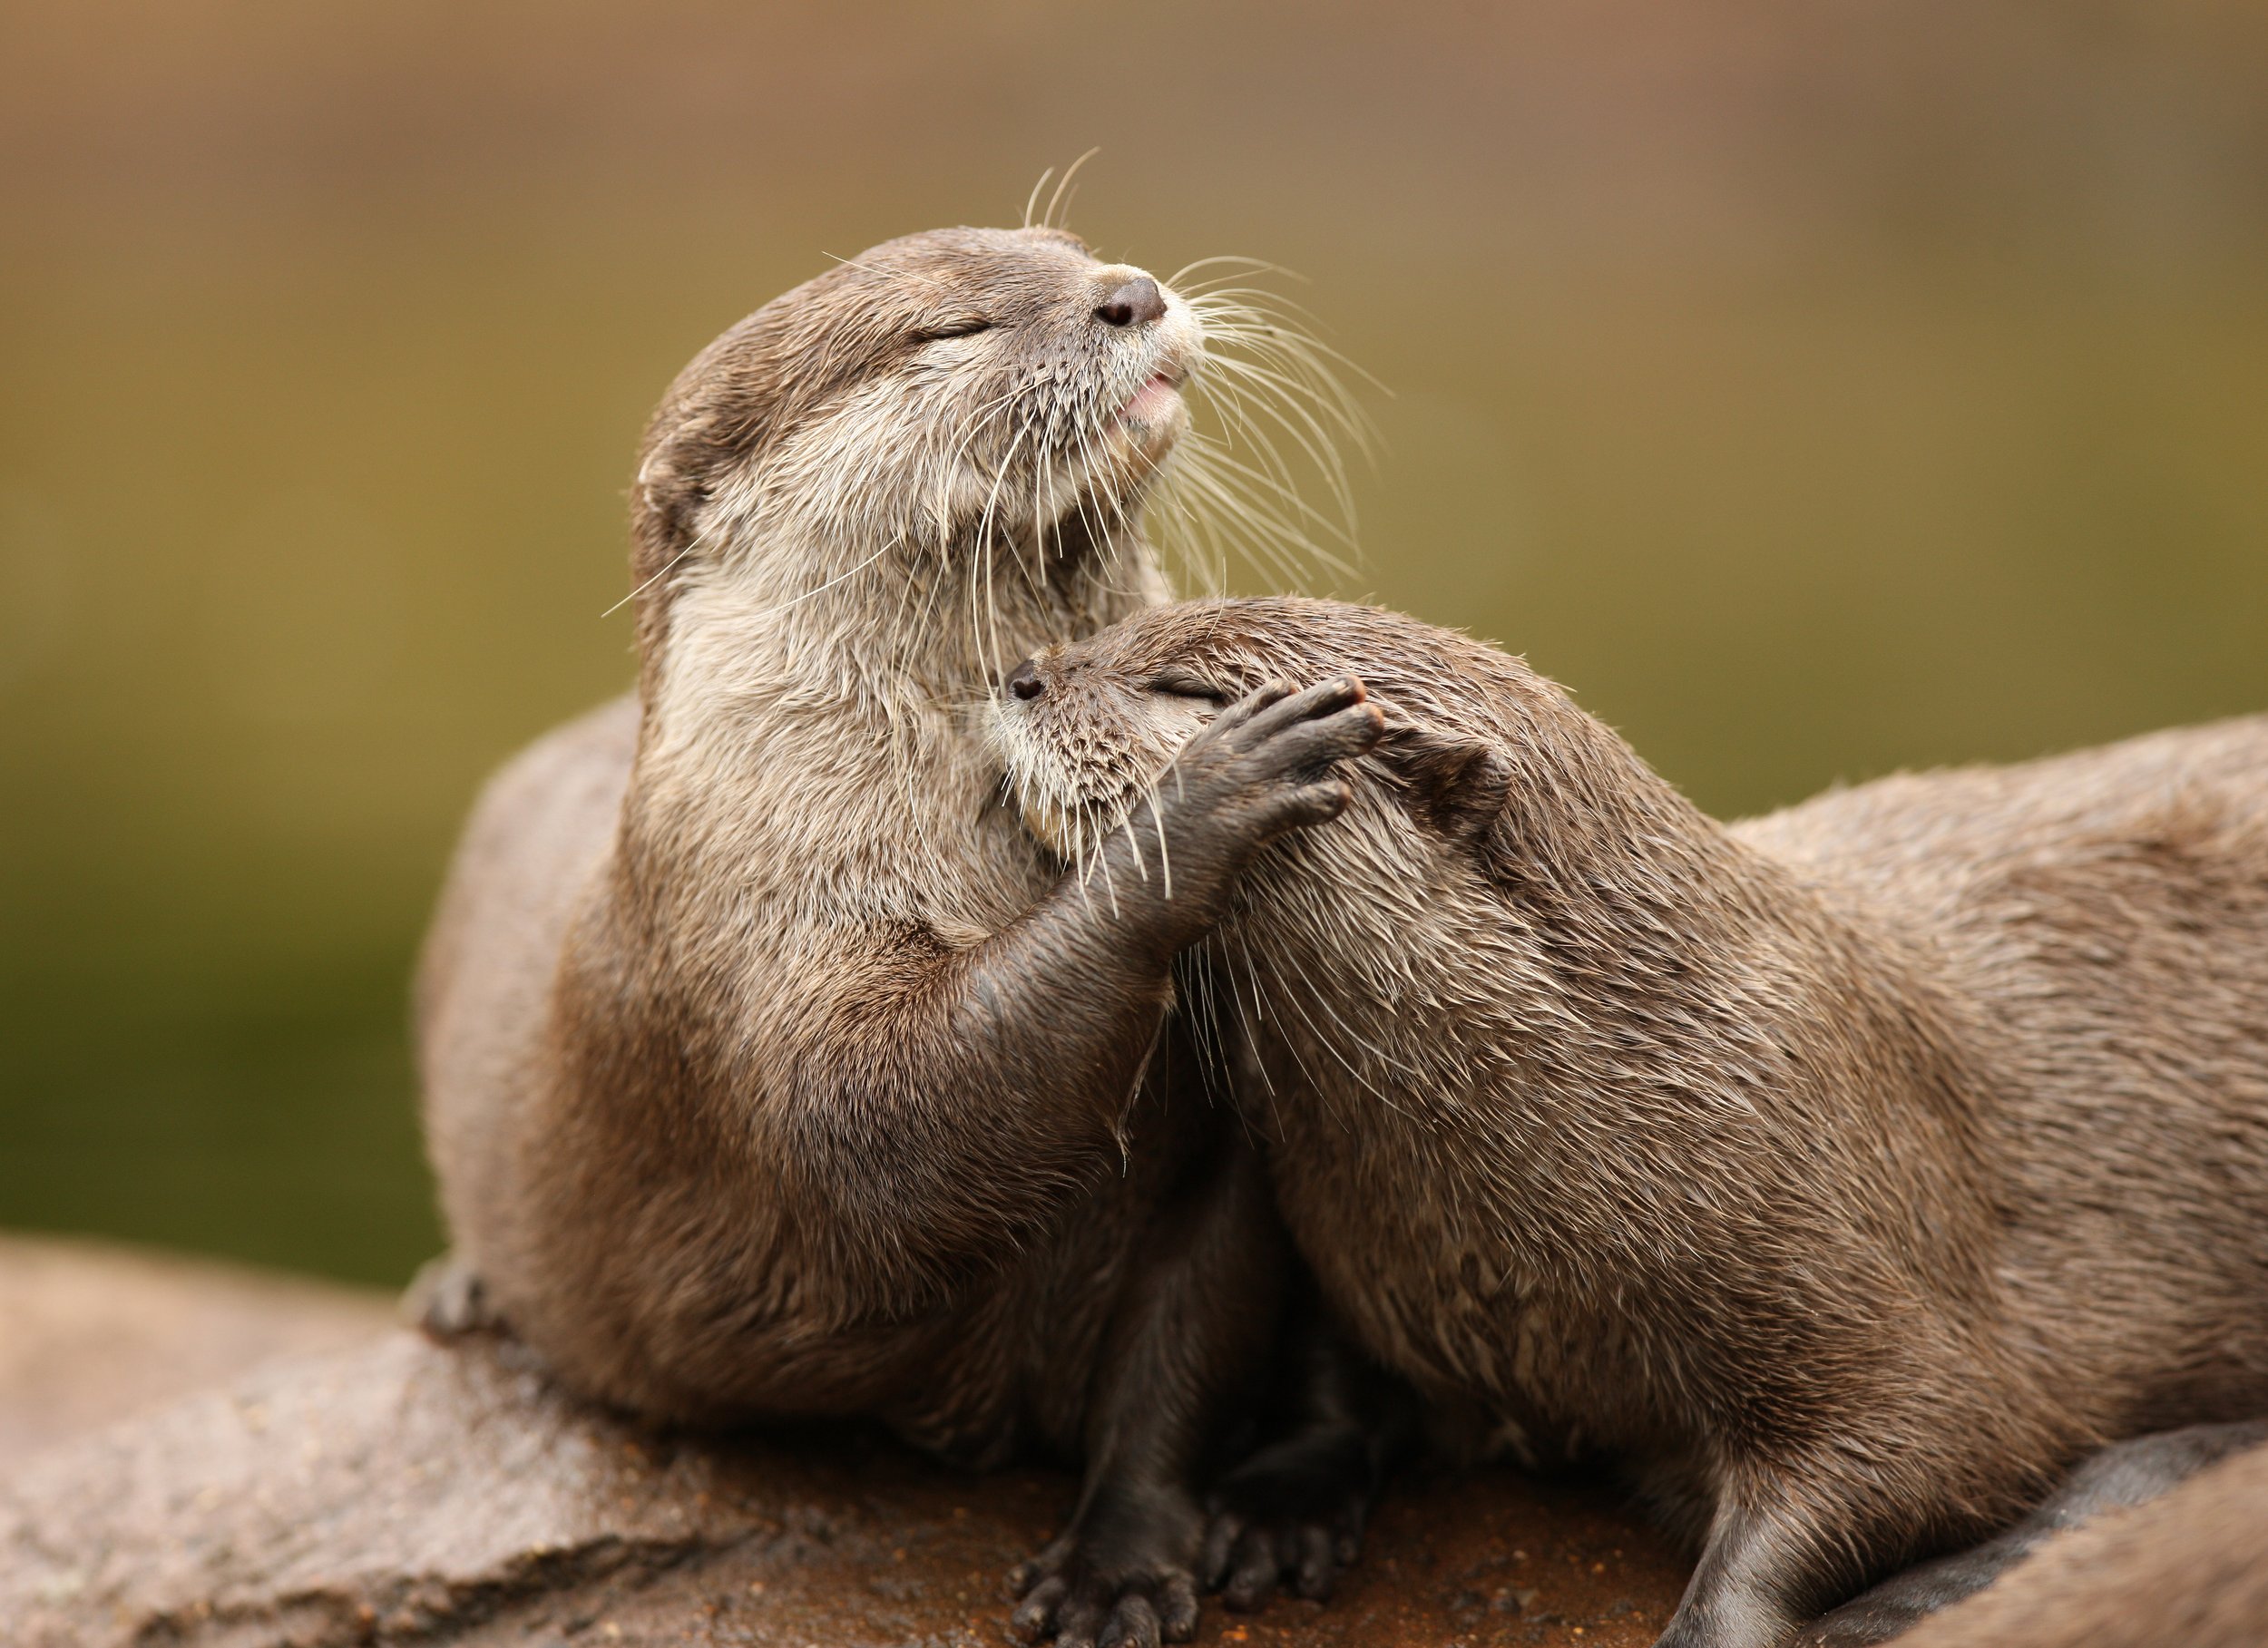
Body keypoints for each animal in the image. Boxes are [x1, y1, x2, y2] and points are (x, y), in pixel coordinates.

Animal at [415, 233, 1393, 1648]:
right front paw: (1198, 792)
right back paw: (462, 1291)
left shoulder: (1213, 1157)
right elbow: (879, 1126)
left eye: (1071, 252)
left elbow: (1181, 1344)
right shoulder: (751, 938)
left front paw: (1121, 1556)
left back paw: (1294, 1505)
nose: (1130, 292)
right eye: (949, 327)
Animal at [992, 596, 2268, 1648]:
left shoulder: (1862, 1245)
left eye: (1191, 687)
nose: (1020, 673)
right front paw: (1276, 1498)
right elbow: (1327, 1364)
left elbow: (1919, 1443)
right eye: (1124, 629)